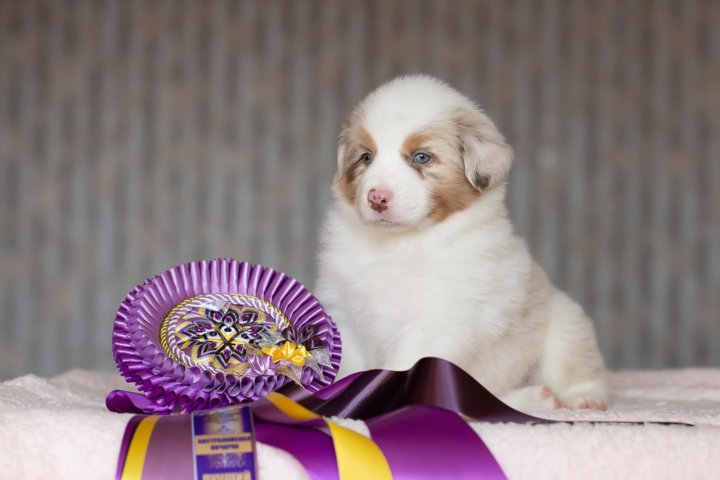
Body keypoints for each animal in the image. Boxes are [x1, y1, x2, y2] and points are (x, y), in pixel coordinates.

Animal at [316, 74, 608, 408]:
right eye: (366, 157)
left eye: (421, 157)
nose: (376, 197)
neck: (400, 243)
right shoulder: (343, 313)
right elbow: (348, 368)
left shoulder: (435, 323)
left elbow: (403, 367)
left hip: (563, 326)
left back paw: (578, 398)